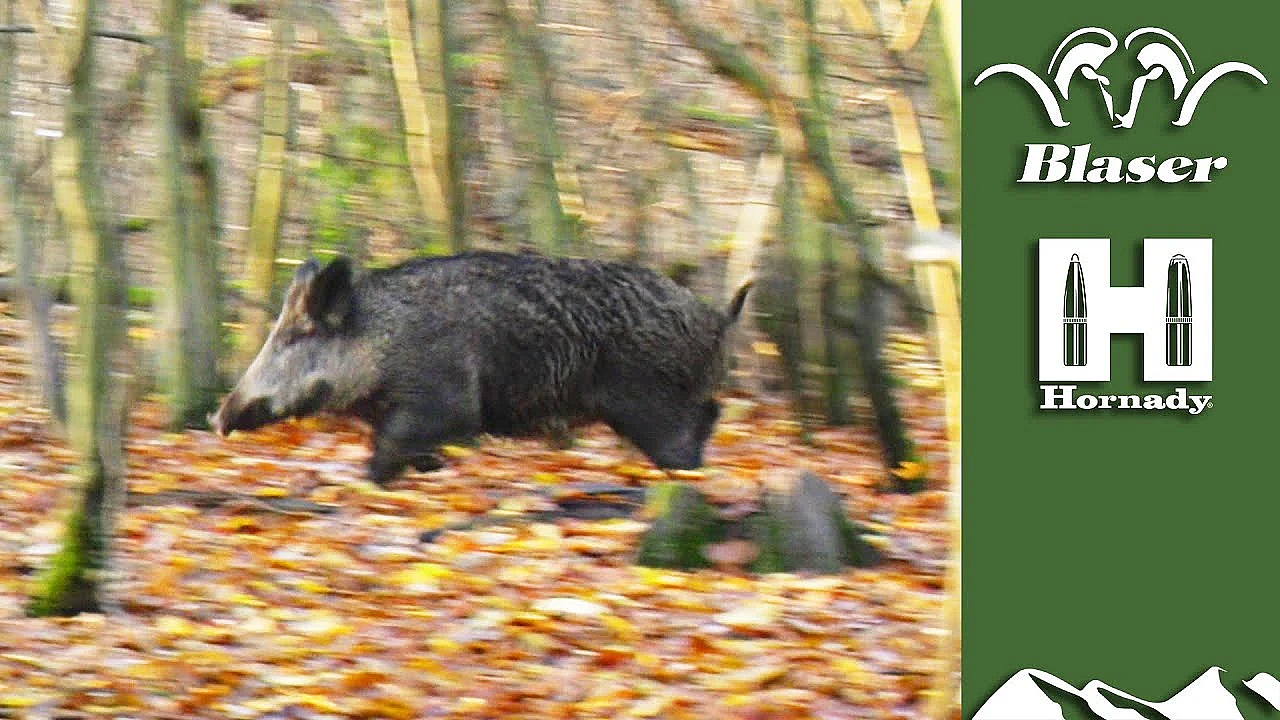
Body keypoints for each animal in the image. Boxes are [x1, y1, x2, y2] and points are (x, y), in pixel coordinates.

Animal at [211, 252, 752, 485]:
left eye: (294, 337)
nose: (219, 417)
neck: (380, 345)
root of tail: (717, 318)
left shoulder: (446, 402)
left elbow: (391, 448)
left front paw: (368, 482)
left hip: (649, 401)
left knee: (697, 427)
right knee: (712, 412)